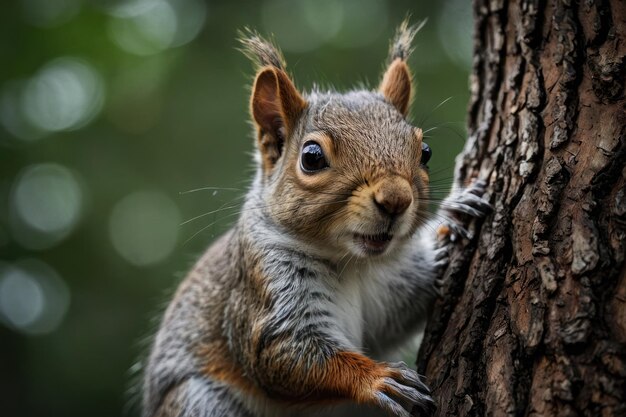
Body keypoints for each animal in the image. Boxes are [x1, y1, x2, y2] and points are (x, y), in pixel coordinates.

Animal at [143, 21, 492, 416]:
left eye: (426, 151)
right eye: (311, 157)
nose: (396, 199)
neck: (354, 263)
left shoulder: (394, 285)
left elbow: (397, 316)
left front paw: (452, 217)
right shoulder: (266, 291)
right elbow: (290, 356)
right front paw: (377, 379)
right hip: (199, 402)